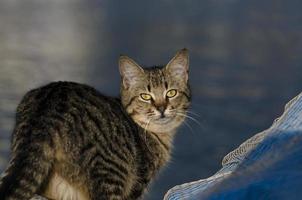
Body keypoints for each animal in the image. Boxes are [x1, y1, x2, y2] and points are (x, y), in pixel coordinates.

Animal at [0, 48, 191, 200]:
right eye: (145, 96)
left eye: (171, 93)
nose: (161, 108)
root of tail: (48, 108)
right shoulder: (138, 182)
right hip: (109, 176)